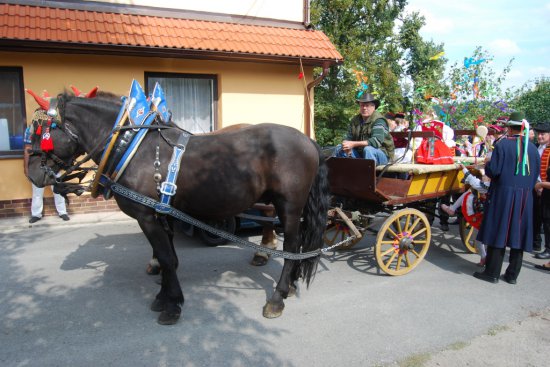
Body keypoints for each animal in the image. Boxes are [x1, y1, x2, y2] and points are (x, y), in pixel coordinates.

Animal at [25, 93, 330, 326]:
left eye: (44, 133)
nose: (32, 174)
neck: (133, 148)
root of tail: (308, 141)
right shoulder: (163, 214)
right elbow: (167, 256)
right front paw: (164, 296)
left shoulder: (147, 217)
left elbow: (167, 258)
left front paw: (172, 306)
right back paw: (289, 285)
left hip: (289, 206)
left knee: (290, 247)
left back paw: (278, 297)